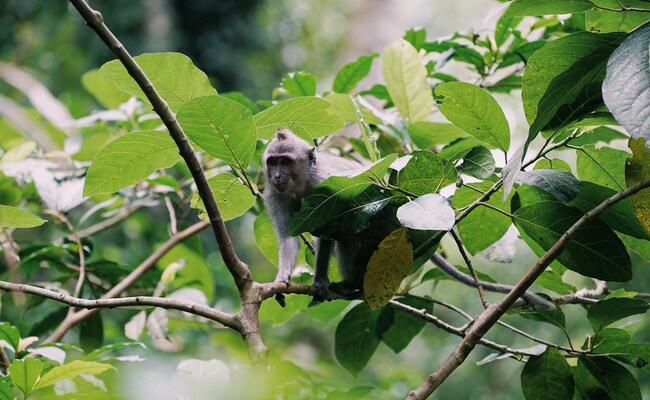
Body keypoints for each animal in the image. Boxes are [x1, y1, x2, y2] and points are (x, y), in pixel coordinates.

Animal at [263, 128, 362, 301]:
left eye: (285, 162)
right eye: (273, 163)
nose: (277, 176)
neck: (301, 185)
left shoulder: (324, 186)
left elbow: (327, 233)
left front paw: (320, 281)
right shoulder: (276, 197)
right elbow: (289, 238)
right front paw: (281, 279)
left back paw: (349, 285)